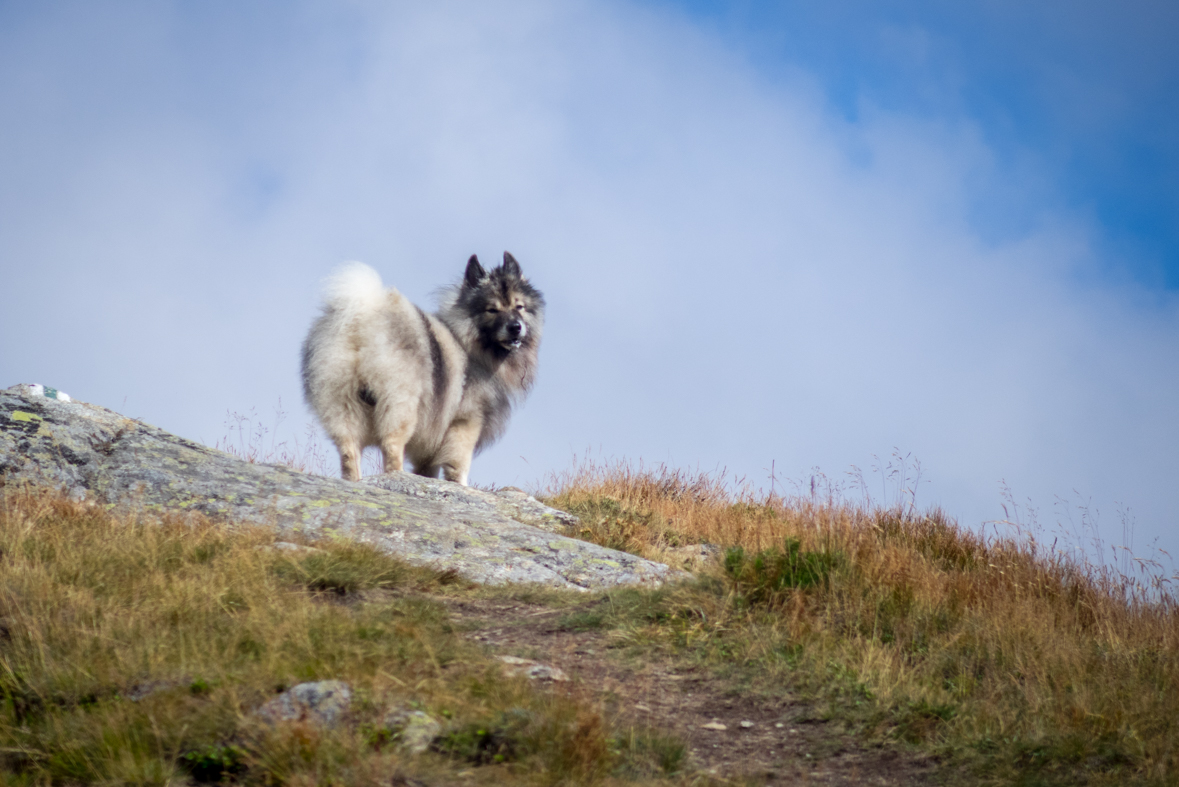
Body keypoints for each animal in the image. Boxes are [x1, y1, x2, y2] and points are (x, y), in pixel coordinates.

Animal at [301, 252, 544, 485]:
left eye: (519, 307)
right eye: (492, 310)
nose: (515, 327)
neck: (469, 344)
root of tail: (362, 320)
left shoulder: (431, 443)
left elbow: (428, 468)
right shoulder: (465, 422)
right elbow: (459, 465)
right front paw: (461, 487)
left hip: (343, 406)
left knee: (349, 452)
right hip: (400, 405)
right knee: (391, 445)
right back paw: (396, 477)